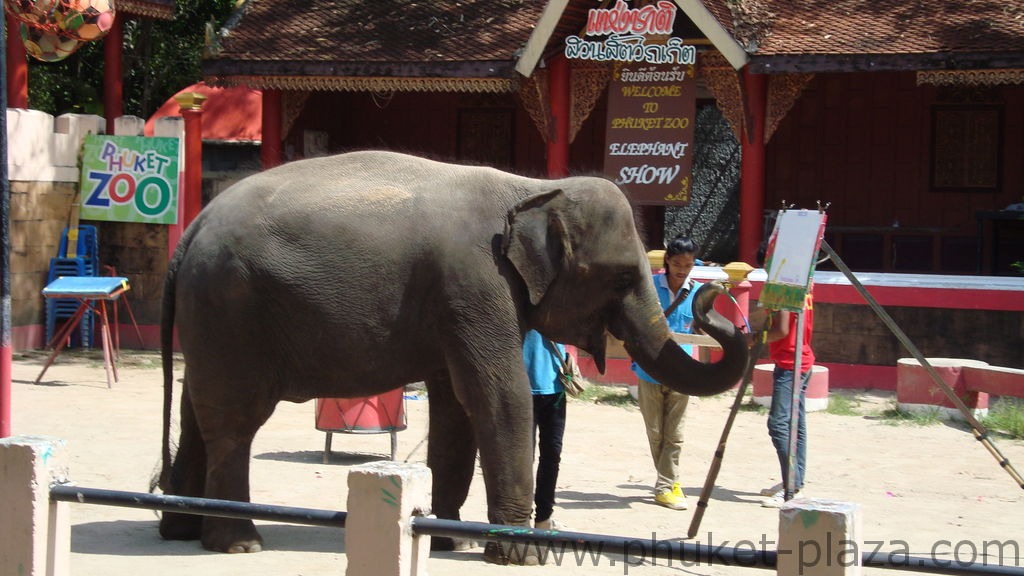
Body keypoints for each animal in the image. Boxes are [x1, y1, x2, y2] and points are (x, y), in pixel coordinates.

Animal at [159, 147, 749, 561]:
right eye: (624, 277)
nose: (710, 296)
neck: (531, 188)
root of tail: (190, 232)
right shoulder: (475, 281)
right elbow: (498, 397)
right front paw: (521, 555)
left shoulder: (454, 303)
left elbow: (455, 411)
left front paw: (450, 541)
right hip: (230, 305)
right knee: (234, 420)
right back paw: (238, 543)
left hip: (210, 316)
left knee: (196, 411)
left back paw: (179, 529)